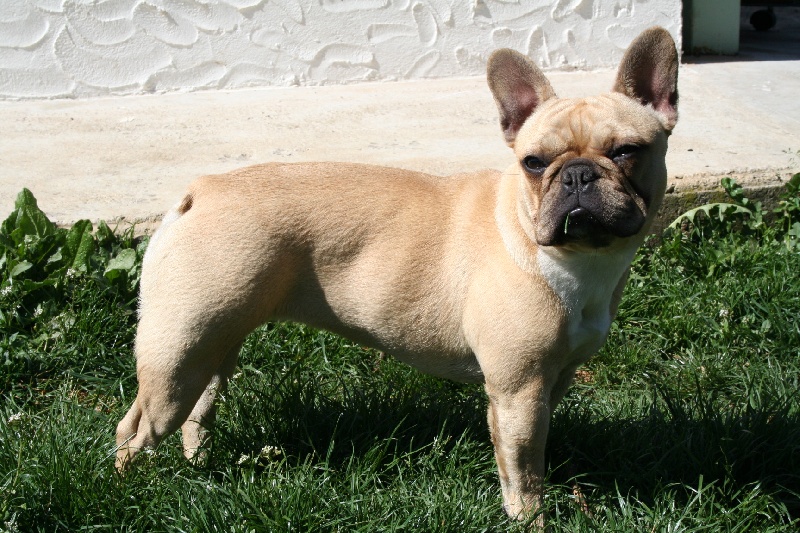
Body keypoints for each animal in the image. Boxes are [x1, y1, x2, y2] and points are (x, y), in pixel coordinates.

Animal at [117, 28, 676, 520]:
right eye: (534, 163)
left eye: (627, 151)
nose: (578, 174)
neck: (576, 256)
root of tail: (202, 191)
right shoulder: (519, 390)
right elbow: (522, 470)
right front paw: (529, 518)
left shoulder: (550, 380)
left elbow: (533, 456)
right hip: (176, 355)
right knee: (137, 427)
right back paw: (128, 487)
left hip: (213, 344)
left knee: (197, 412)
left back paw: (198, 466)